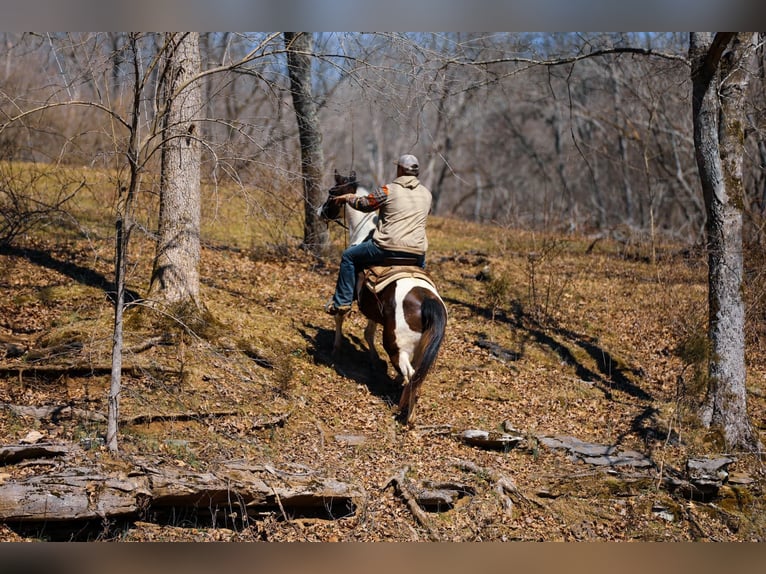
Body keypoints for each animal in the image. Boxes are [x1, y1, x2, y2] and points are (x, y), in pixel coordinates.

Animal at [320, 169, 450, 426]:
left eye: (331, 193)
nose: (320, 212)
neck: (363, 232)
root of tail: (427, 301)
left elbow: (340, 313)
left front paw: (336, 348)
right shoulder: (373, 308)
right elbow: (368, 333)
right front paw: (371, 360)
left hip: (396, 344)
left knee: (411, 375)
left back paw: (405, 414)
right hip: (421, 348)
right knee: (417, 377)